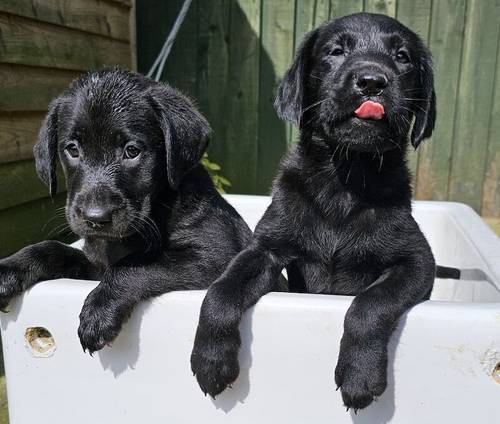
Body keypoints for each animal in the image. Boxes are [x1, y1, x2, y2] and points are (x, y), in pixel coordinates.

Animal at [0, 68, 250, 352]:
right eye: (72, 149)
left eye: (132, 151)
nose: (95, 218)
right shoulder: (94, 266)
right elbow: (52, 249)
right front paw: (10, 268)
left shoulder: (214, 255)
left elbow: (133, 264)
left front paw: (100, 309)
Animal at [190, 13, 458, 410]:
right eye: (335, 51)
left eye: (403, 57)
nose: (372, 81)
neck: (345, 179)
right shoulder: (265, 248)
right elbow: (221, 290)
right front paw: (210, 360)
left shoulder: (416, 261)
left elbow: (370, 303)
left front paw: (360, 376)